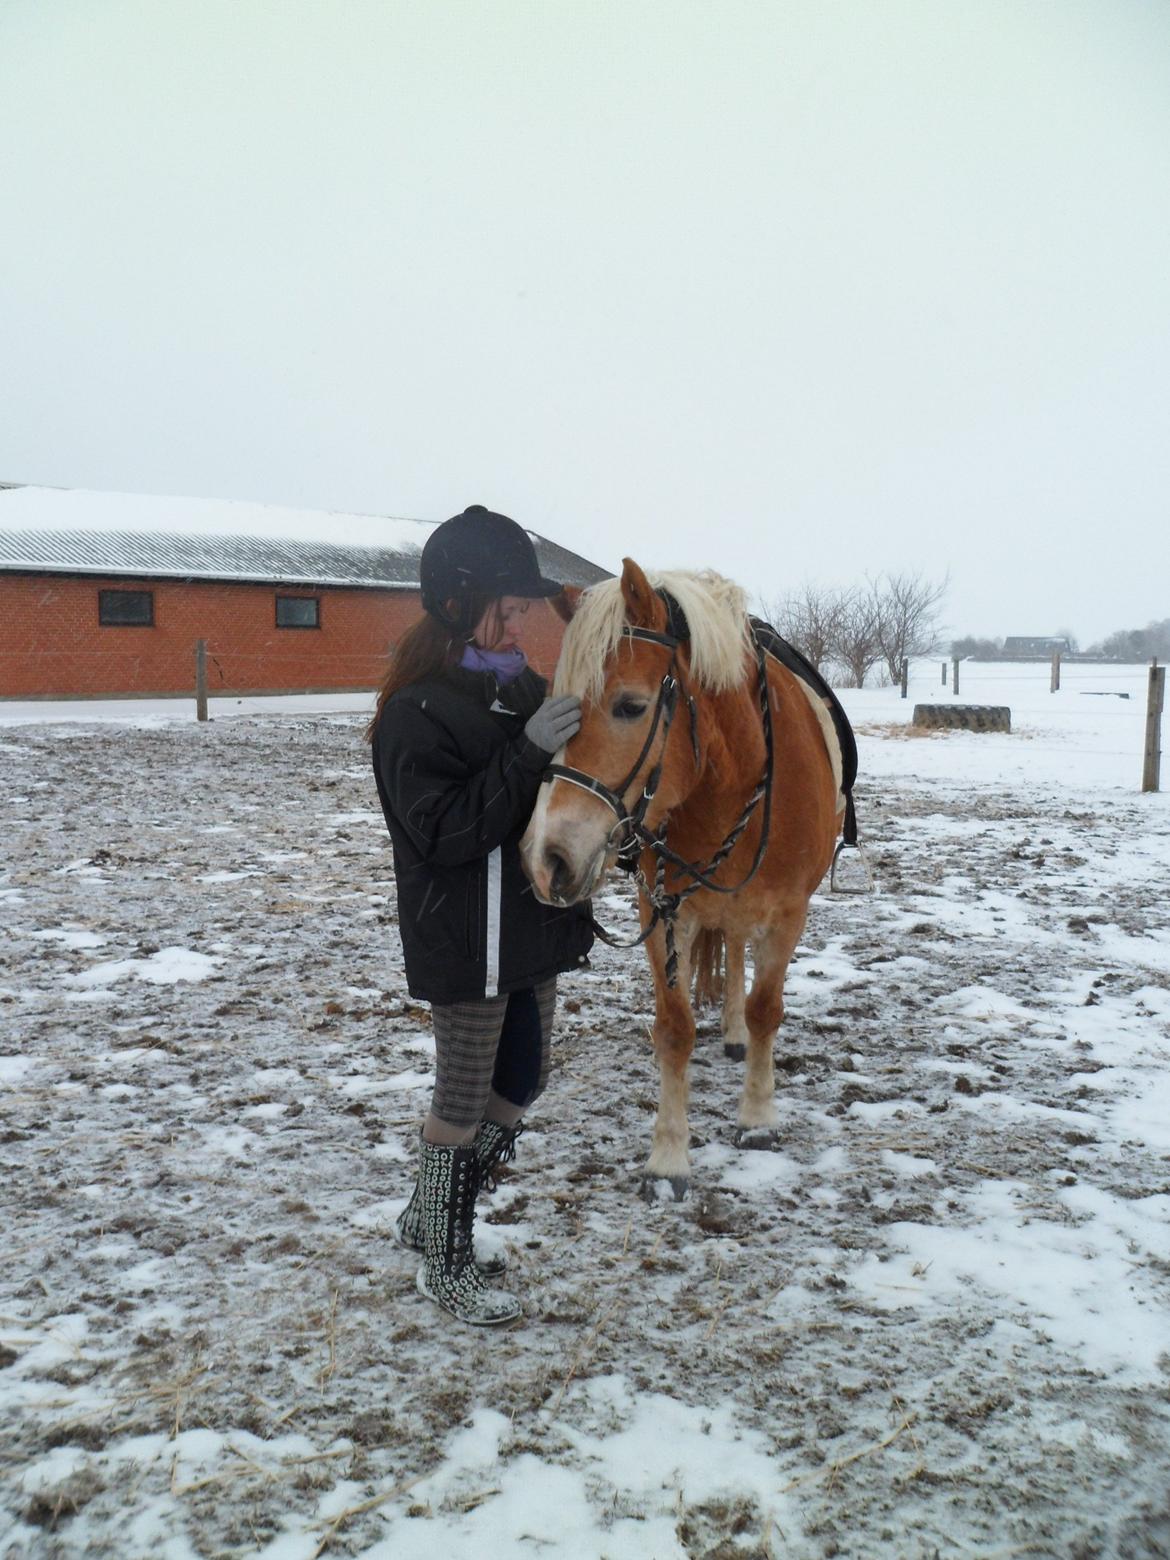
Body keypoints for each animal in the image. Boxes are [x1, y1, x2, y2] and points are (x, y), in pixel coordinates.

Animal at [521, 558, 842, 1191]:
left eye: (630, 706)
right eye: (556, 707)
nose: (548, 859)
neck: (730, 788)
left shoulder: (788, 916)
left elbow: (767, 1010)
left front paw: (758, 1118)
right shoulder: (665, 912)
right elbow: (674, 1030)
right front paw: (669, 1155)